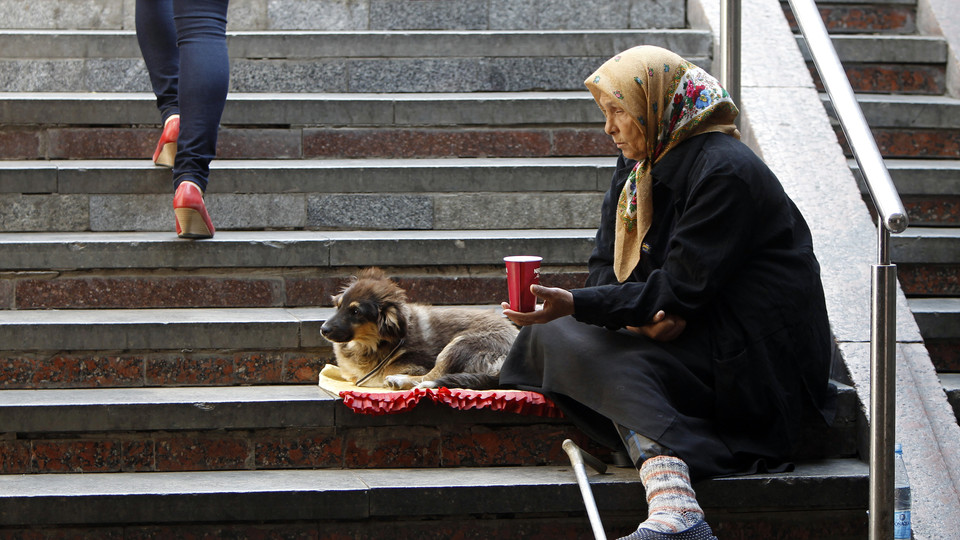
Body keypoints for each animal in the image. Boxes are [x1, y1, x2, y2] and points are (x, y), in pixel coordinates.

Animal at [319, 268, 519, 390]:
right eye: (339, 306)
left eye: (355, 311)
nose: (323, 330)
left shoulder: (418, 362)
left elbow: (388, 370)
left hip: (461, 344)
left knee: (432, 376)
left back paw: (399, 381)